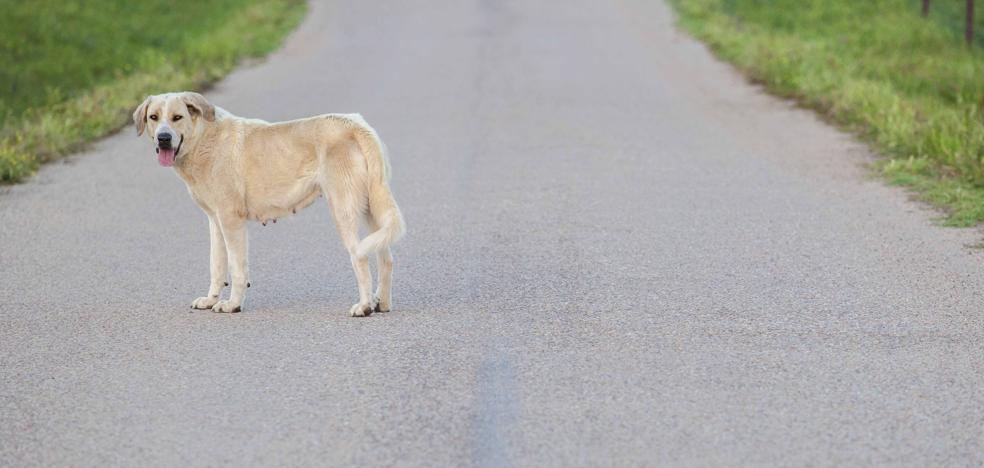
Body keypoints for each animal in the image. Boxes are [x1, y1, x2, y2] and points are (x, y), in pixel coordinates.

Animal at [134, 91, 404, 316]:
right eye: (154, 117)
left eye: (177, 117)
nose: (163, 138)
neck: (204, 140)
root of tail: (355, 124)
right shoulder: (215, 221)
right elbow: (216, 265)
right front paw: (211, 300)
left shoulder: (231, 221)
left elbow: (237, 268)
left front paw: (233, 304)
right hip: (371, 210)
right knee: (386, 258)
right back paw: (382, 303)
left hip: (343, 210)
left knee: (360, 258)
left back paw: (364, 306)